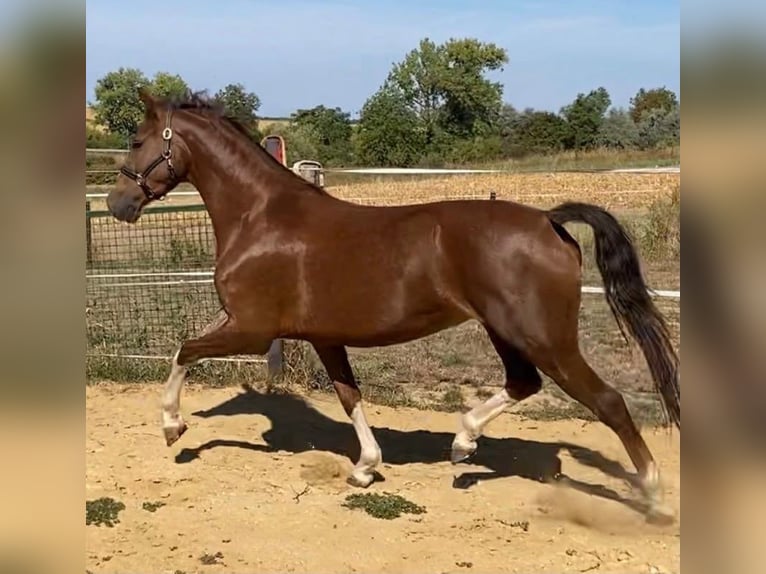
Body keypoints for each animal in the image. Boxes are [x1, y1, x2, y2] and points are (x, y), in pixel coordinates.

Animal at [106, 89, 679, 523]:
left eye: (136, 141)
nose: (117, 204)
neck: (260, 217)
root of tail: (548, 220)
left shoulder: (252, 328)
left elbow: (184, 349)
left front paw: (173, 427)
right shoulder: (320, 336)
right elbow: (349, 396)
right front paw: (365, 468)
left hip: (546, 338)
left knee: (608, 402)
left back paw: (653, 497)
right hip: (507, 332)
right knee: (524, 384)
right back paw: (462, 443)